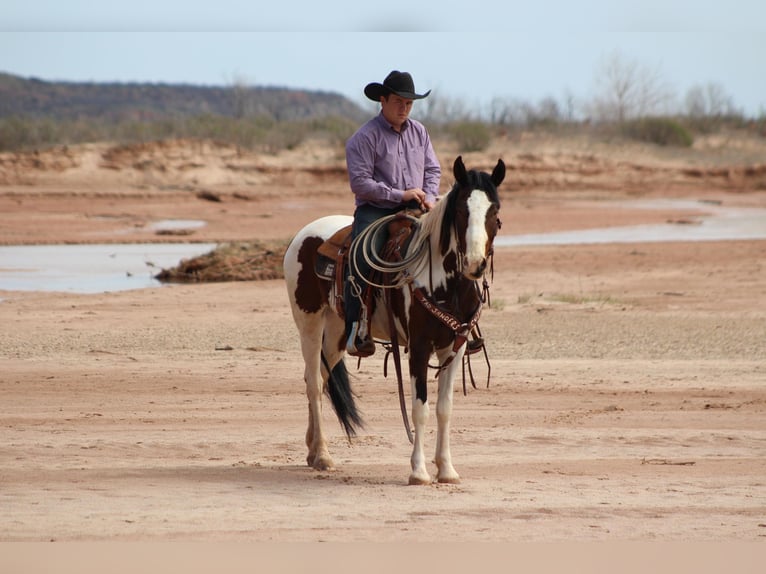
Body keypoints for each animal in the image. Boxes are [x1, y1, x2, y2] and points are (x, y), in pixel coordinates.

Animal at [284, 155, 508, 484]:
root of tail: (305, 233)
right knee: (313, 382)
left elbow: (444, 409)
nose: (475, 264)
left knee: (322, 379)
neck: (446, 284)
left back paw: (313, 450)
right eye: (460, 211)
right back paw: (323, 455)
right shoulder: (419, 347)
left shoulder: (455, 348)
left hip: (338, 332)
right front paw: (418, 471)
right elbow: (419, 409)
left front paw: (447, 469)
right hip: (309, 323)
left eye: (495, 210)